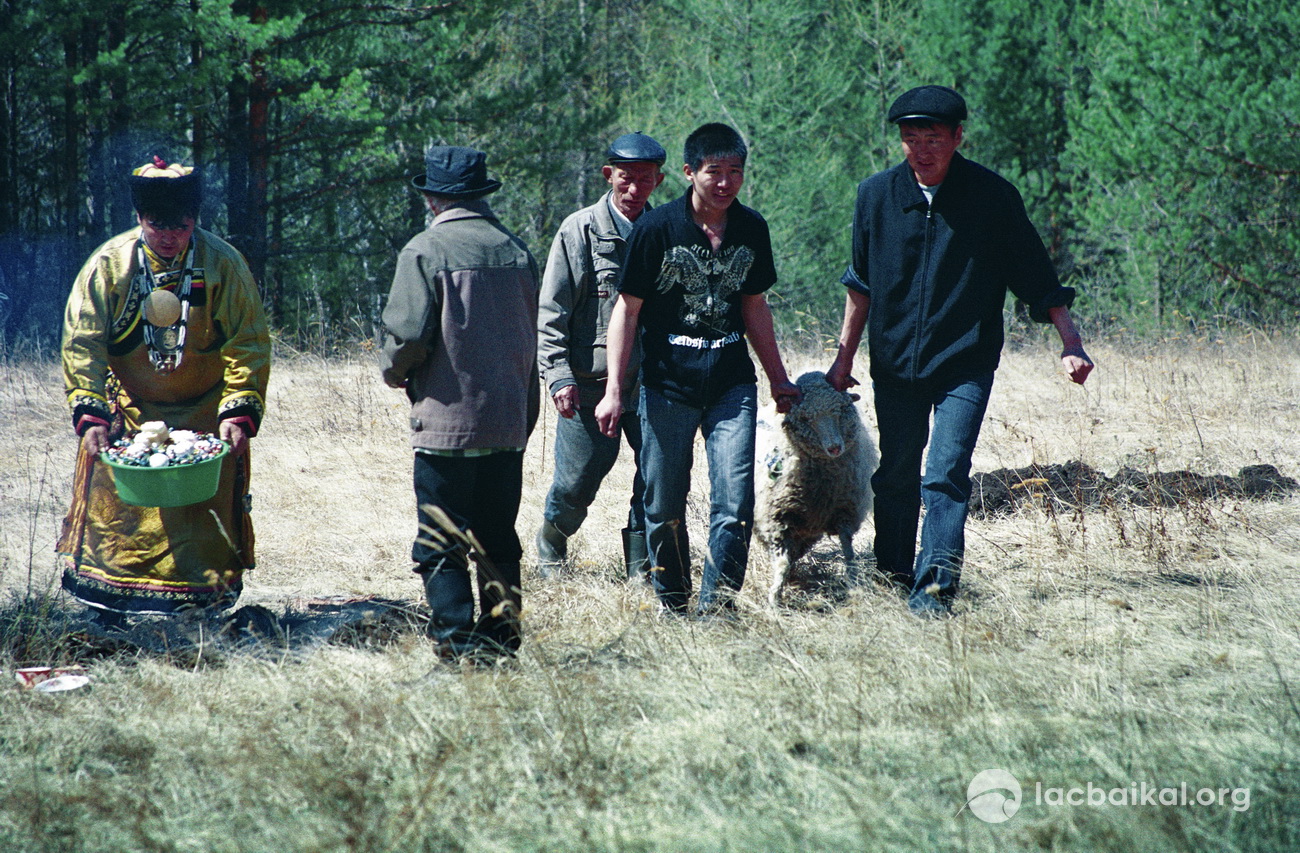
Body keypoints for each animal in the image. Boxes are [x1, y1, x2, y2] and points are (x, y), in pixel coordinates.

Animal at [759, 371, 878, 605]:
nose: (835, 447)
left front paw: (853, 585)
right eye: (805, 418)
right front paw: (774, 600)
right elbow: (782, 563)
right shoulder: (778, 520)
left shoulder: (844, 512)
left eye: (840, 408)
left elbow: (848, 553)